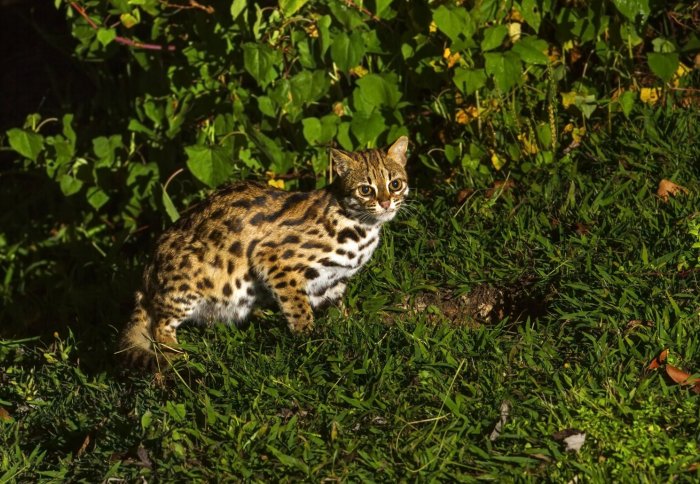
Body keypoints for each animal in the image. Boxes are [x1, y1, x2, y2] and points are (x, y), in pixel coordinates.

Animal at [117, 135, 408, 366]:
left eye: (395, 184)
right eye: (365, 190)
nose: (385, 203)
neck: (362, 226)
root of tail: (145, 277)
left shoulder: (332, 281)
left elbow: (338, 310)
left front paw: (348, 330)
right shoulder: (272, 258)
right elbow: (298, 308)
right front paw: (308, 339)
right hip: (191, 279)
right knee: (159, 327)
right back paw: (176, 354)